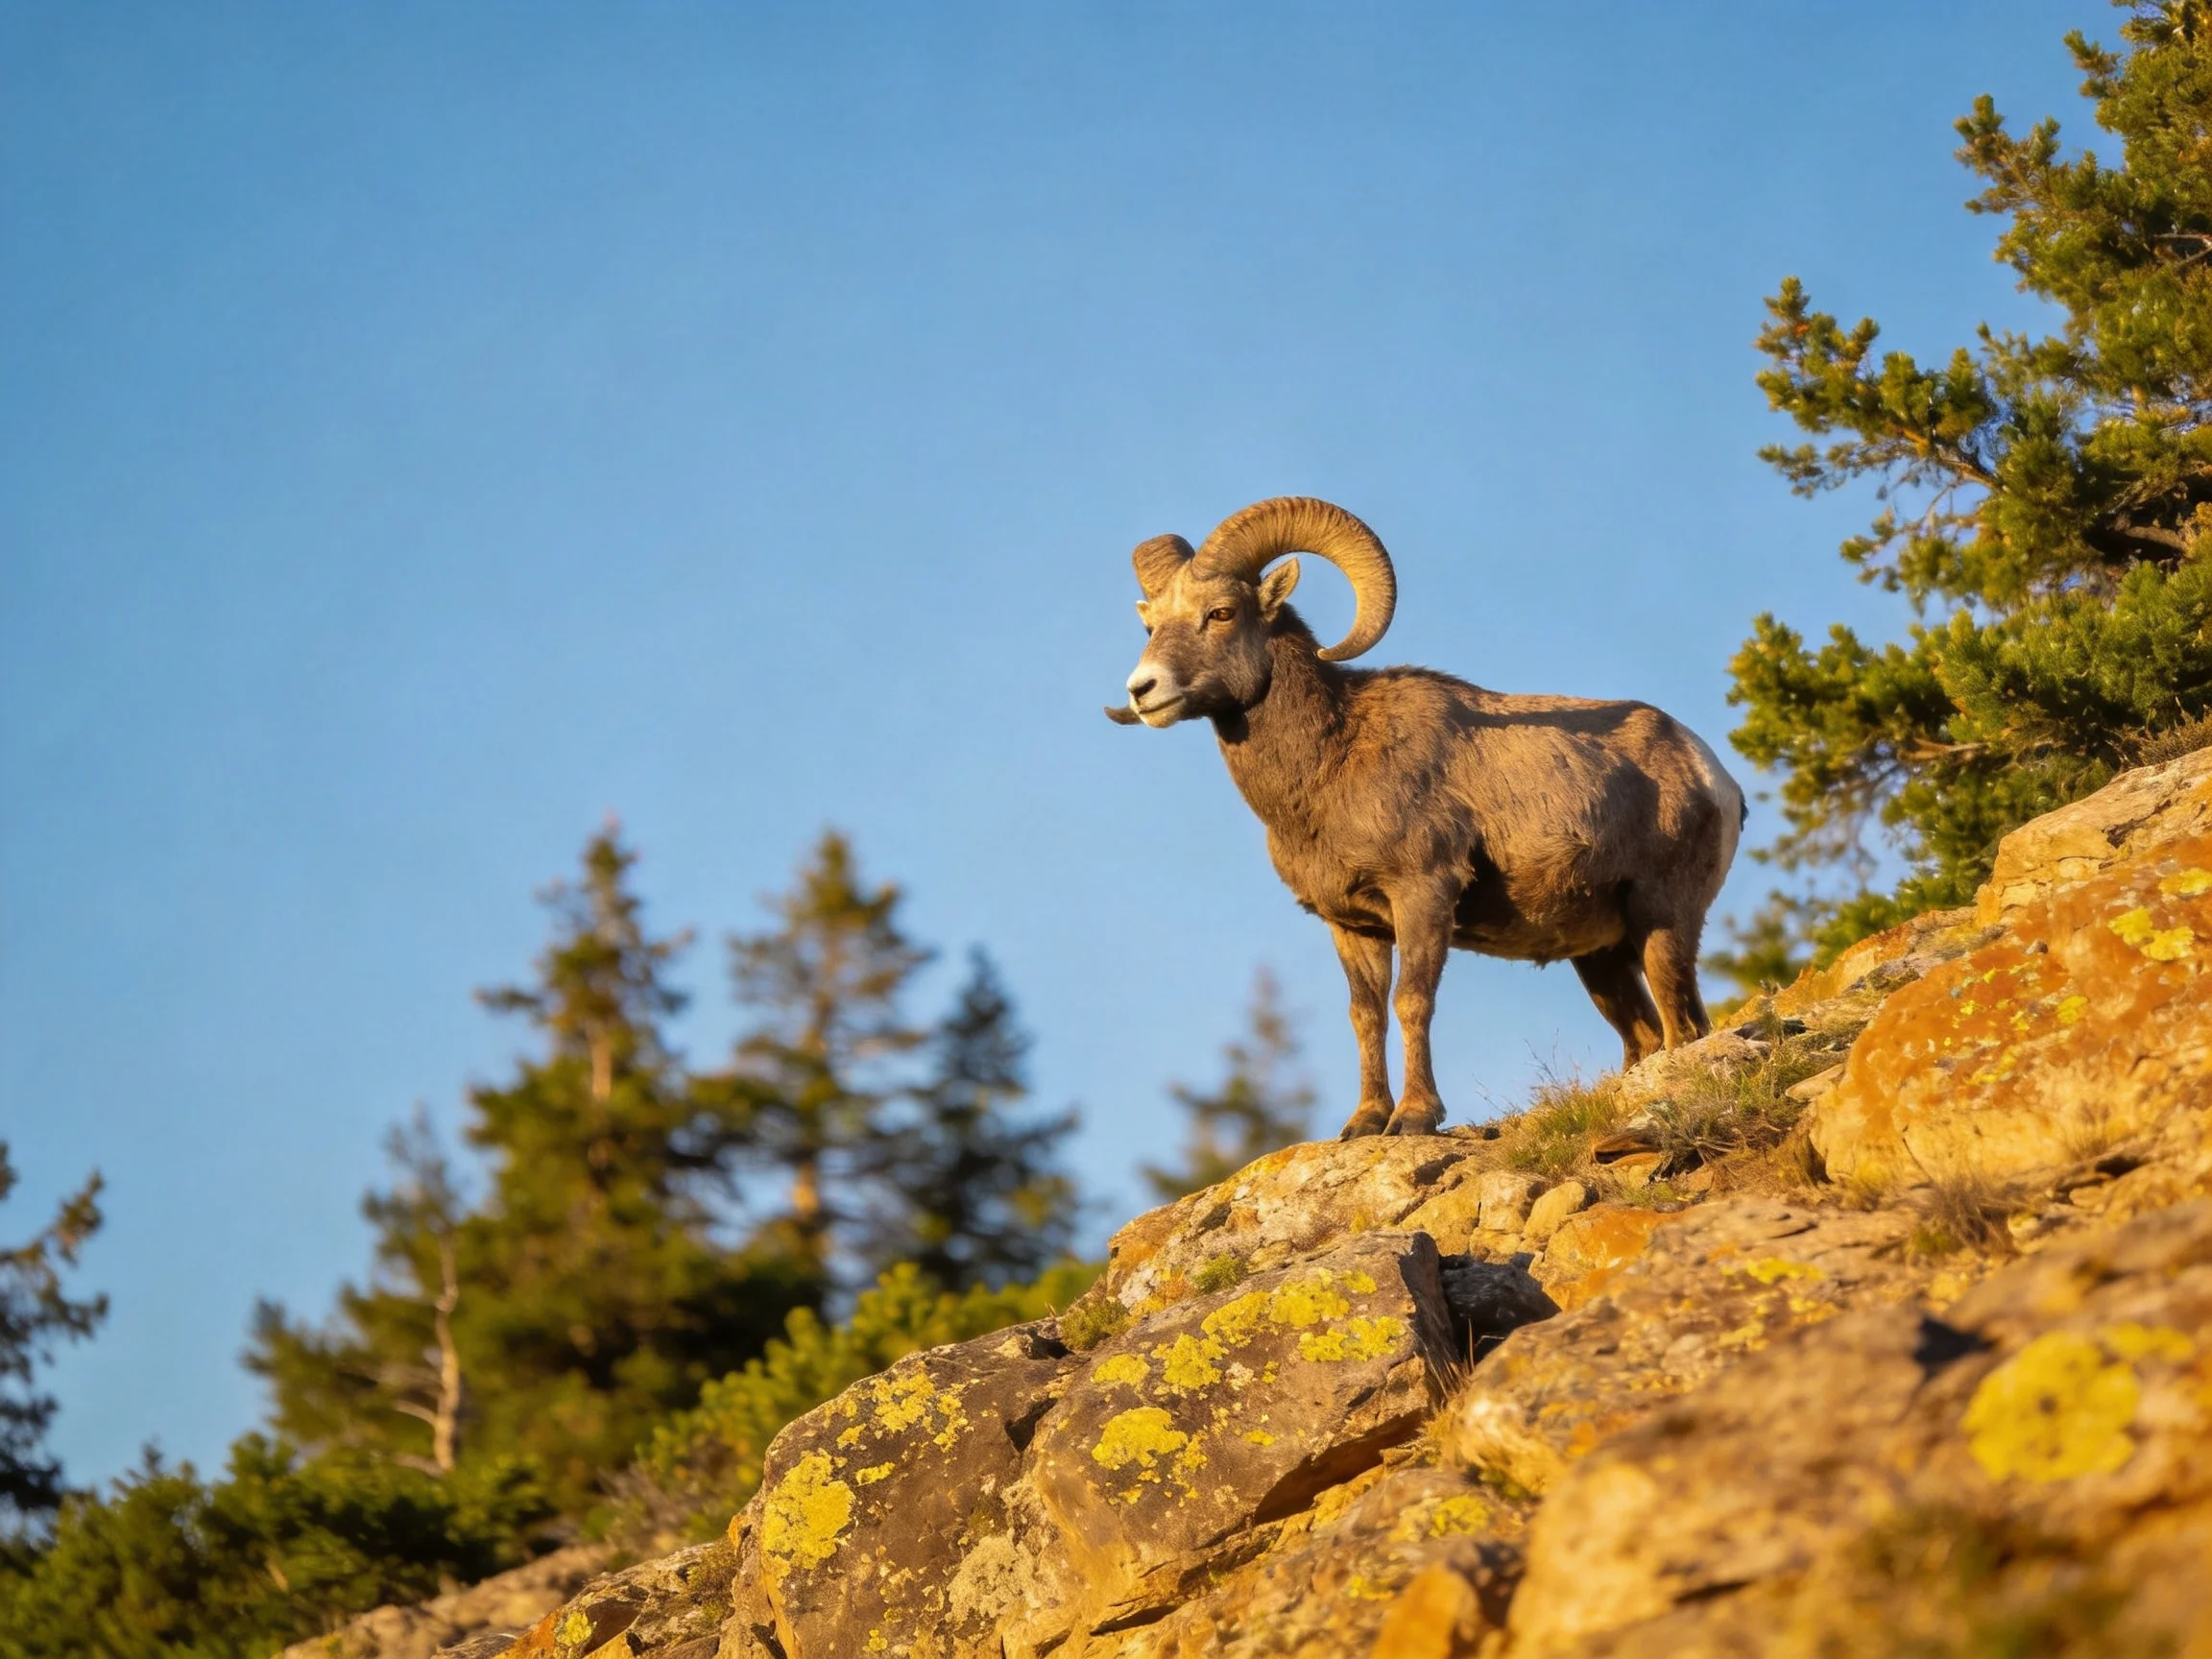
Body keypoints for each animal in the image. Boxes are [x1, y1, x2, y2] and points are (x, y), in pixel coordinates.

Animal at [1105, 497, 1745, 1139]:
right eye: (1150, 627)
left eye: (1221, 612)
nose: (1142, 690)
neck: (1332, 761)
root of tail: (1711, 774)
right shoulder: (1354, 926)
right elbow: (1365, 1014)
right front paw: (1366, 1121)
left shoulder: (1423, 894)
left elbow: (1412, 1001)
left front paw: (1415, 1117)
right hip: (1601, 959)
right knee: (1645, 1036)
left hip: (1660, 922)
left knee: (1683, 1026)